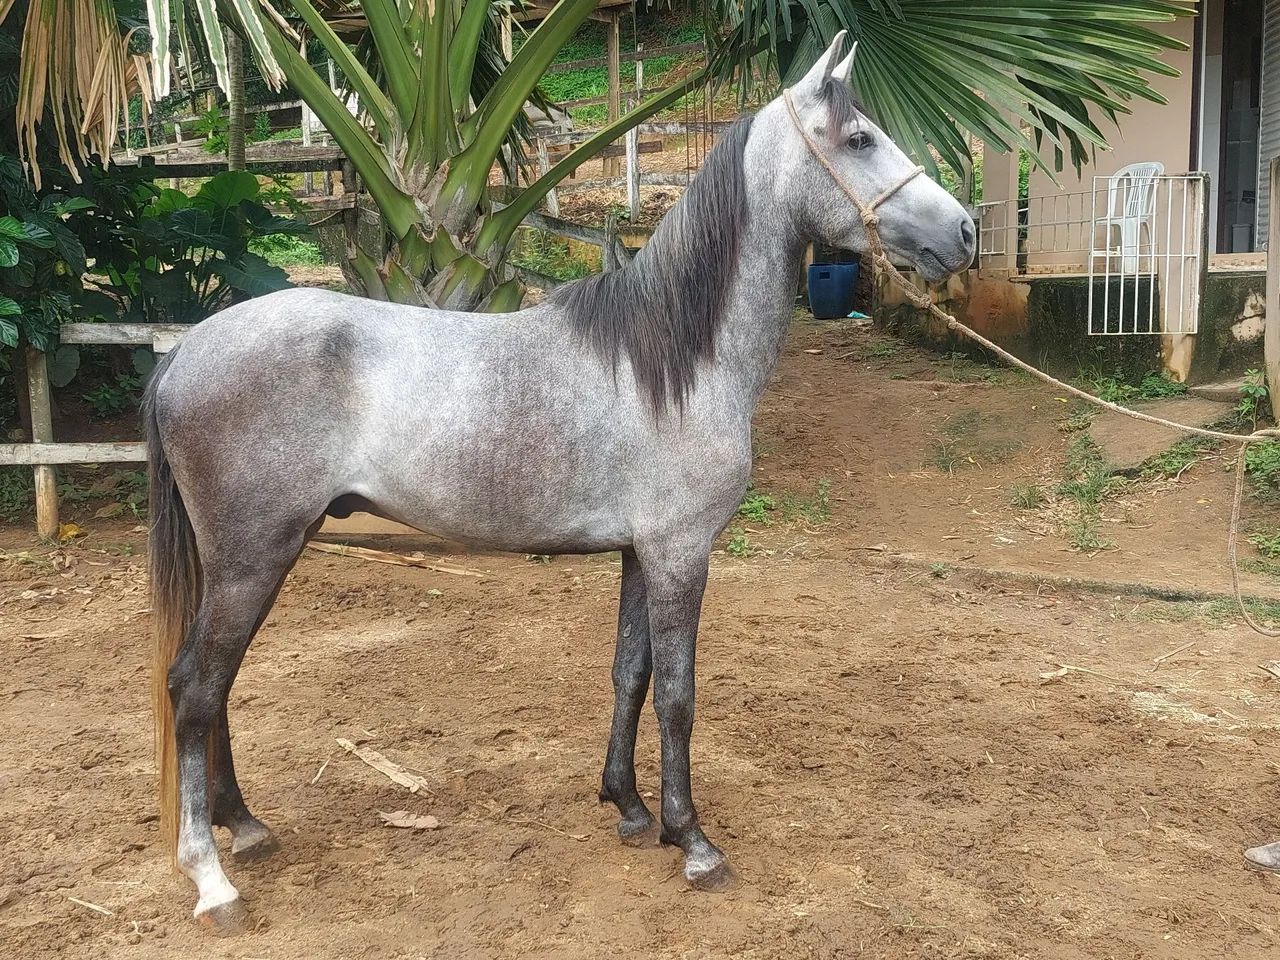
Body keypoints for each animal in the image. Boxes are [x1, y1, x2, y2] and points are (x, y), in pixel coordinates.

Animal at [144, 33, 975, 934]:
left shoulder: (641, 553)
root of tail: (183, 355)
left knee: (216, 685)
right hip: (254, 556)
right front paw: (692, 840)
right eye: (859, 139)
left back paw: (246, 826)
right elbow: (678, 694)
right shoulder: (682, 553)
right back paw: (212, 876)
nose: (965, 232)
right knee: (196, 688)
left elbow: (630, 675)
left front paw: (630, 808)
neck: (674, 360)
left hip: (253, 559)